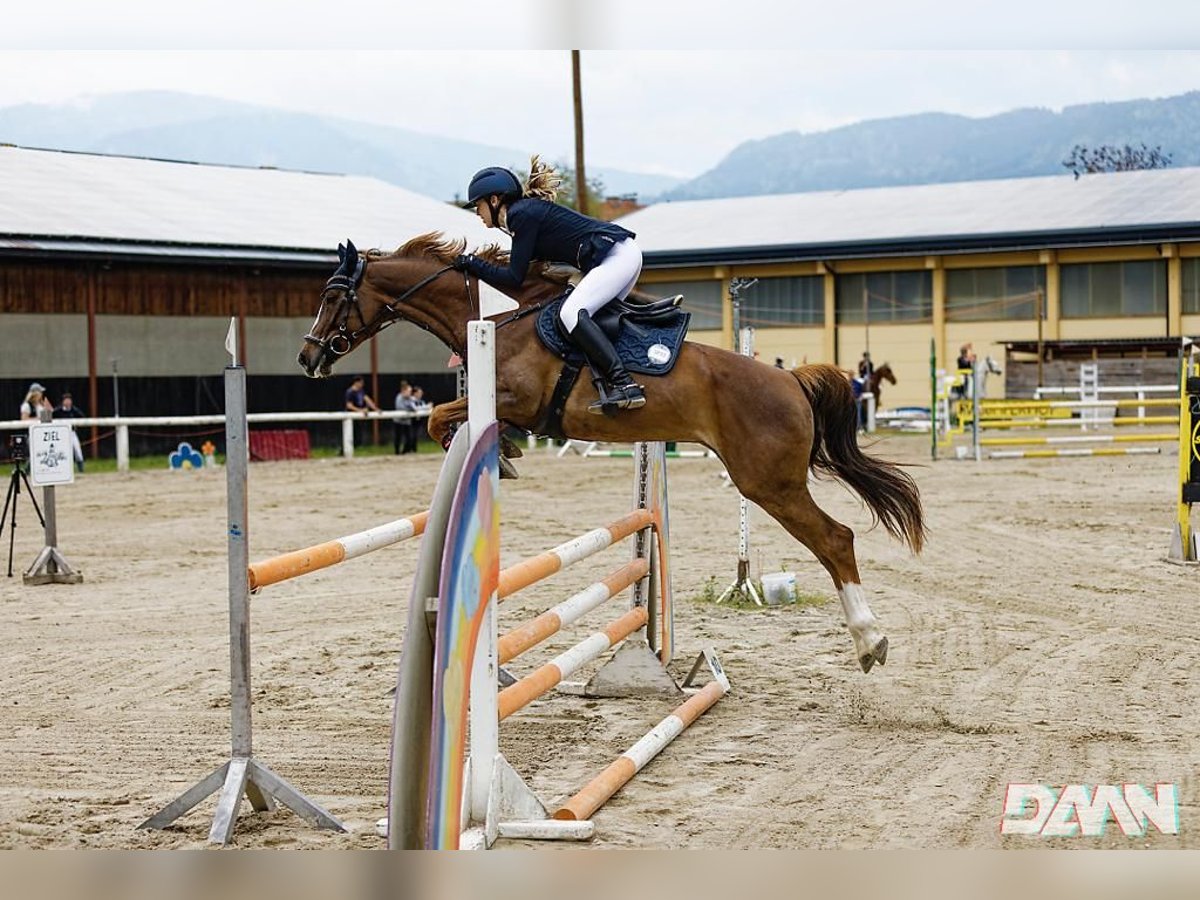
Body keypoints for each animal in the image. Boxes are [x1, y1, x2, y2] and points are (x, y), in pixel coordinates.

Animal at [295, 236, 921, 672]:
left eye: (331, 295)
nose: (308, 357)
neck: (497, 318)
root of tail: (792, 380)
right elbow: (447, 418)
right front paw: (506, 453)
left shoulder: (515, 399)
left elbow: (436, 417)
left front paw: (499, 454)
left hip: (768, 483)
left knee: (835, 539)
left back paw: (871, 642)